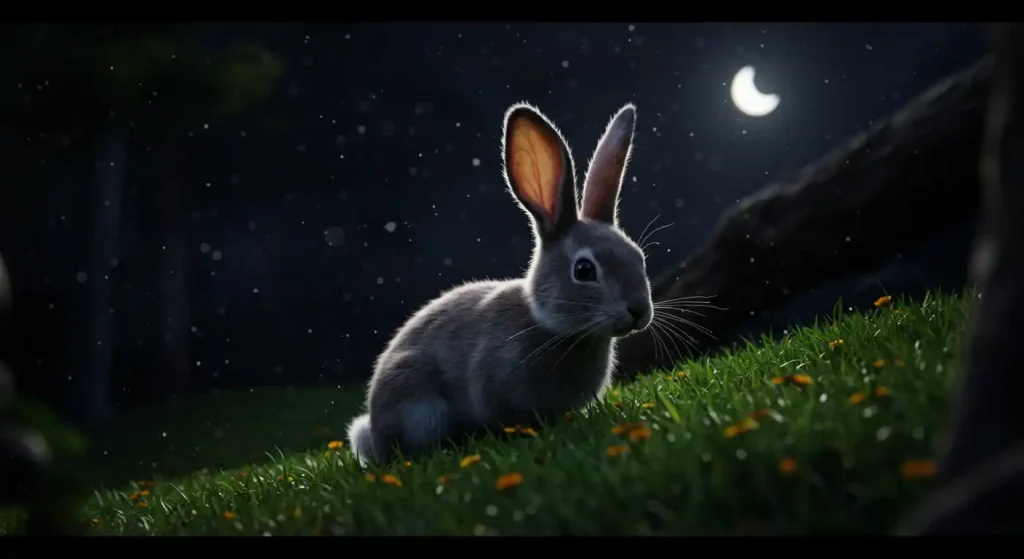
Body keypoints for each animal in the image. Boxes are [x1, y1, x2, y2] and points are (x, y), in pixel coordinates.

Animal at [347, 101, 653, 467]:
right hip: (417, 404)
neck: (551, 328)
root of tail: (374, 434)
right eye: (584, 270)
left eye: (638, 257)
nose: (639, 311)